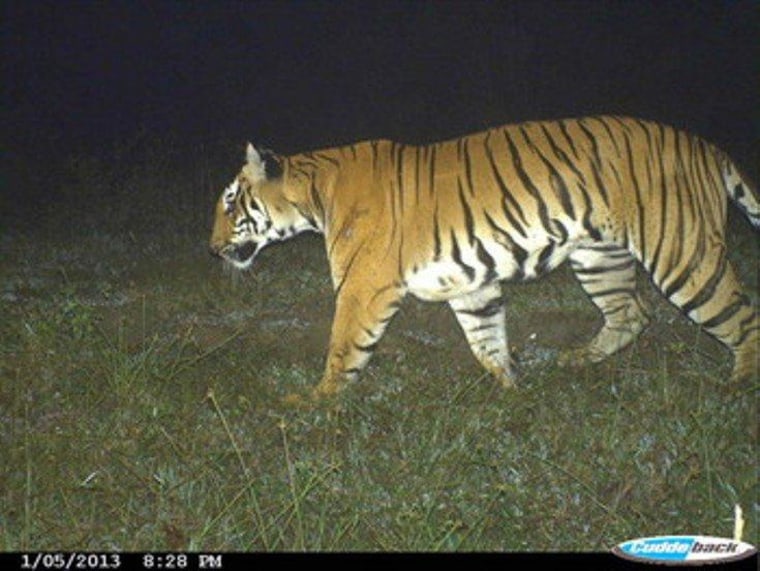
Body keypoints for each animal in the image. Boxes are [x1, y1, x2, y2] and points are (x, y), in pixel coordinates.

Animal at [209, 116, 759, 397]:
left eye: (231, 202)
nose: (211, 249)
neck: (314, 193)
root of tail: (708, 148)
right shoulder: (470, 283)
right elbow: (486, 339)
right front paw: (512, 391)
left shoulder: (363, 287)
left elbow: (344, 348)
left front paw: (317, 404)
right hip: (599, 256)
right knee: (632, 312)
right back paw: (576, 360)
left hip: (682, 254)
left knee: (742, 315)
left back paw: (738, 387)